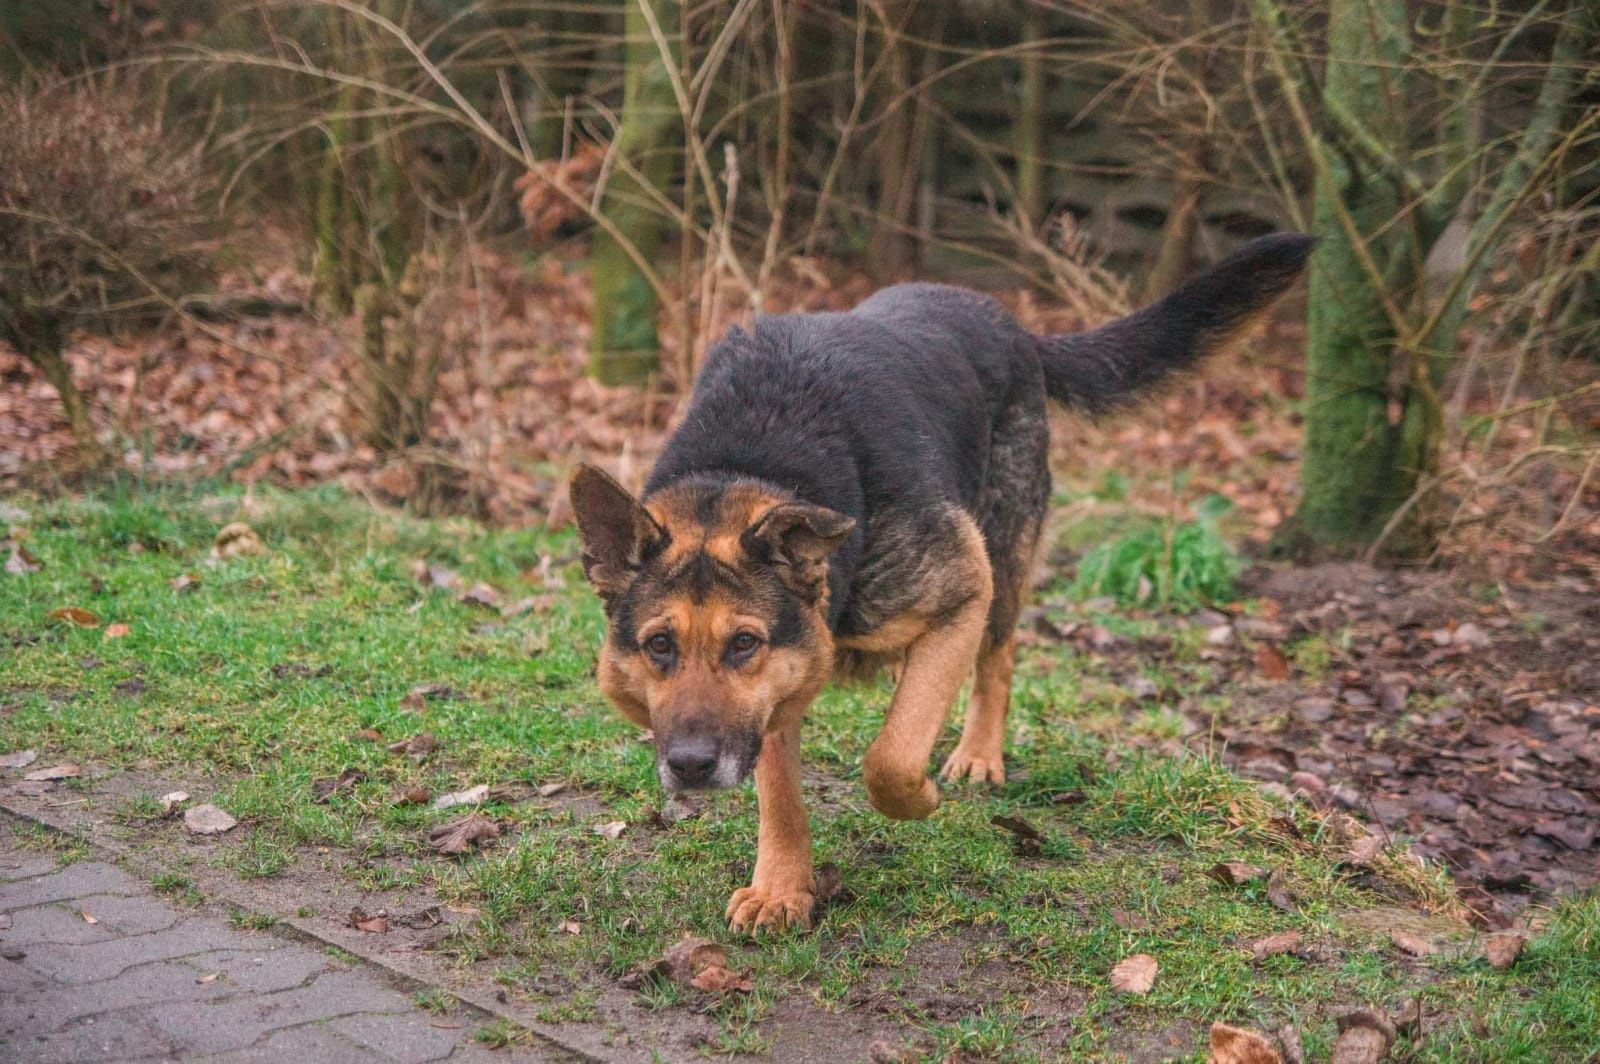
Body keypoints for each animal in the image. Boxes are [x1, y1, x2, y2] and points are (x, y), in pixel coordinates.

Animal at [576, 232, 1312, 928]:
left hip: (1003, 563)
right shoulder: (786, 678)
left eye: (743, 645)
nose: (690, 766)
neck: (748, 461)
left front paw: (920, 793)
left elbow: (892, 758)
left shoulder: (961, 589)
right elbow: (780, 786)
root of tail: (1008, 323)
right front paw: (783, 888)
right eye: (660, 646)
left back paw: (979, 753)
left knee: (997, 657)